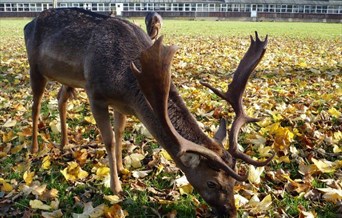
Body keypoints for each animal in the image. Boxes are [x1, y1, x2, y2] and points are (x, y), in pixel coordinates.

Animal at [24, 8, 274, 216]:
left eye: (234, 183)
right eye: (212, 182)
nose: (231, 212)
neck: (126, 80)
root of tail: (28, 23)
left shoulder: (121, 104)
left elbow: (120, 133)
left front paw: (122, 168)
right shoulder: (95, 93)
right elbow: (109, 140)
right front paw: (116, 187)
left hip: (69, 79)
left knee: (61, 98)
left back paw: (64, 144)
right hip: (35, 67)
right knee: (35, 106)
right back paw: (35, 147)